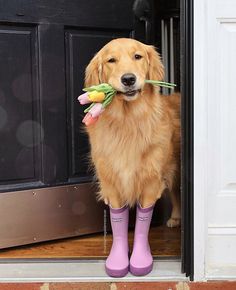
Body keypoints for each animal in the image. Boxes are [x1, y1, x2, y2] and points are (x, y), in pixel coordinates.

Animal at [83, 38, 181, 276]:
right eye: (111, 60)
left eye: (137, 56)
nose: (128, 79)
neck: (127, 122)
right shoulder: (111, 182)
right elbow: (118, 220)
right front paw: (118, 261)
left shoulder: (151, 180)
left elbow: (143, 224)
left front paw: (140, 259)